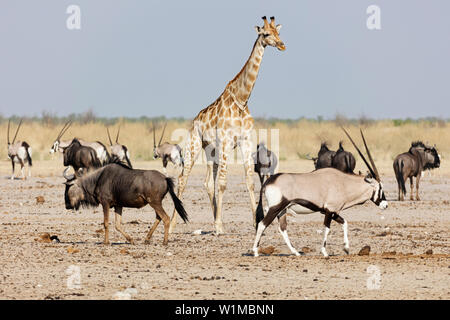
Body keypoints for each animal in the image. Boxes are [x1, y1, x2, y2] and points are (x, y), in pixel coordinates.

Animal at [169, 15, 284, 235]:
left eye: (278, 32)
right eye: (266, 34)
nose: (282, 45)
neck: (242, 99)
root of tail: (195, 120)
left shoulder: (246, 141)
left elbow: (249, 181)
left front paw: (255, 222)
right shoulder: (226, 141)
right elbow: (223, 183)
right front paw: (221, 227)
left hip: (210, 151)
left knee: (207, 183)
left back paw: (214, 221)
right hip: (194, 145)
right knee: (182, 179)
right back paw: (171, 225)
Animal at [251, 127, 388, 258]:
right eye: (380, 187)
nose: (385, 205)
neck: (343, 183)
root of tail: (269, 182)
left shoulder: (333, 212)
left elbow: (345, 223)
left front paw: (346, 248)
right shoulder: (329, 211)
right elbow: (327, 229)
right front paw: (325, 252)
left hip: (282, 210)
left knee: (282, 228)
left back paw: (296, 252)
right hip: (275, 208)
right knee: (262, 224)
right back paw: (255, 252)